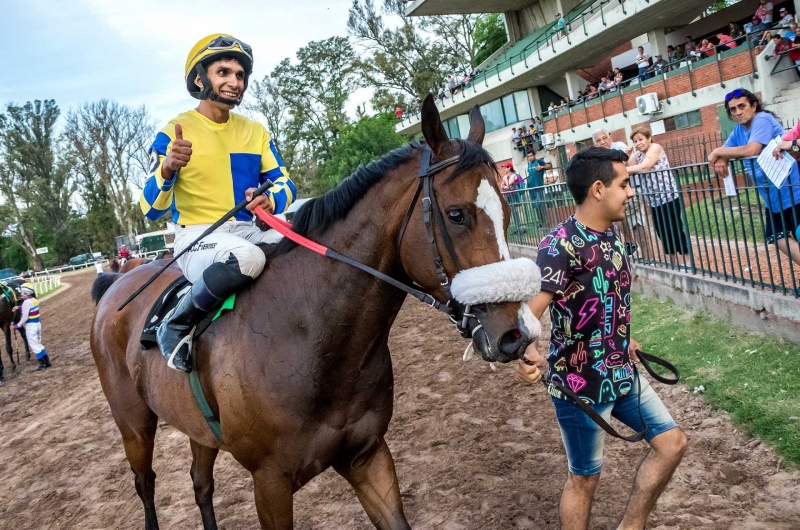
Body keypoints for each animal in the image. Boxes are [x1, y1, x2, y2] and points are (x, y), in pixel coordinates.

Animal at [89, 97, 536, 524]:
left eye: (507, 211)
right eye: (457, 214)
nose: (516, 333)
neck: (311, 337)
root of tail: (115, 284)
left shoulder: (367, 455)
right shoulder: (269, 482)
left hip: (197, 430)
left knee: (200, 484)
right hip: (134, 425)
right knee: (145, 484)